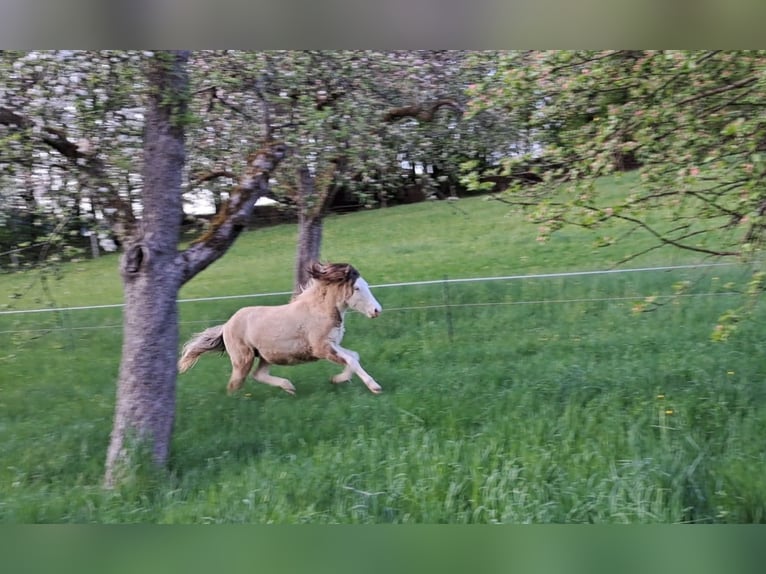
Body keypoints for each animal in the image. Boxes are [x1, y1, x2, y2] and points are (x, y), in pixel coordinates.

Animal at [178, 262, 383, 395]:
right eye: (356, 288)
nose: (377, 310)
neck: (318, 310)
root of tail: (226, 326)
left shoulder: (332, 344)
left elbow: (354, 356)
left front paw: (337, 379)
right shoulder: (321, 348)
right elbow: (351, 359)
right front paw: (375, 387)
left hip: (267, 356)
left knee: (258, 374)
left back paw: (288, 387)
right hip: (243, 359)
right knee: (235, 384)